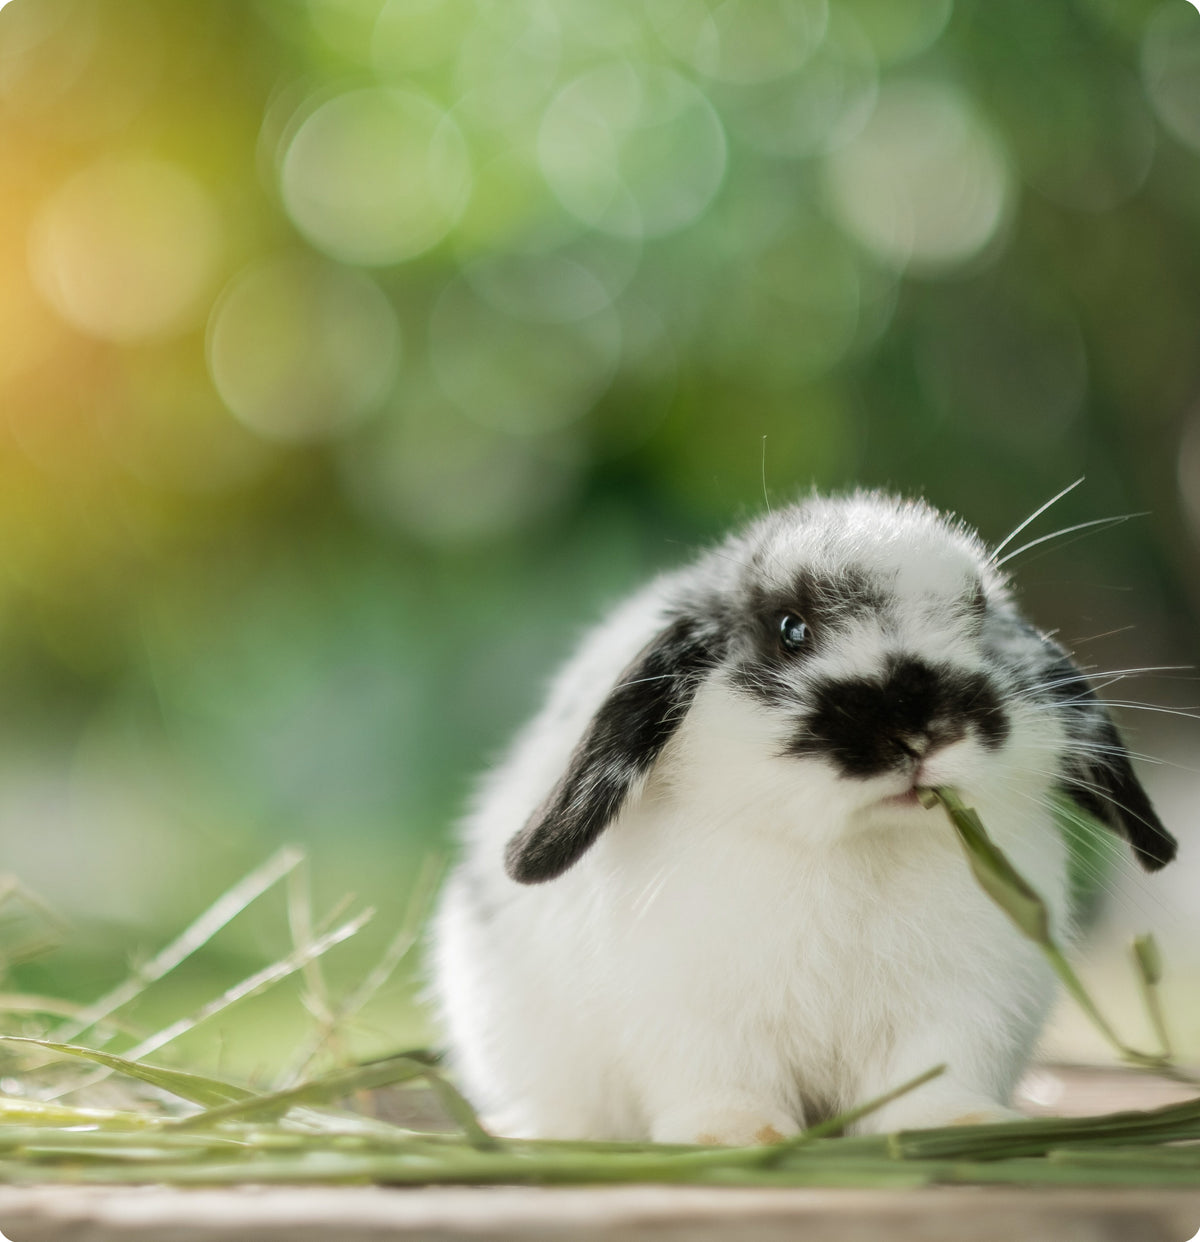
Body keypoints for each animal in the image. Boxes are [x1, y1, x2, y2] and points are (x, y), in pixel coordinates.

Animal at [429, 492, 1177, 1144]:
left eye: (975, 616)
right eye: (792, 630)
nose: (920, 730)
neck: (857, 849)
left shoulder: (961, 1009)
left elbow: (935, 1080)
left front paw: (959, 1126)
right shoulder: (694, 1015)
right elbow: (724, 1085)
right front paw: (733, 1137)